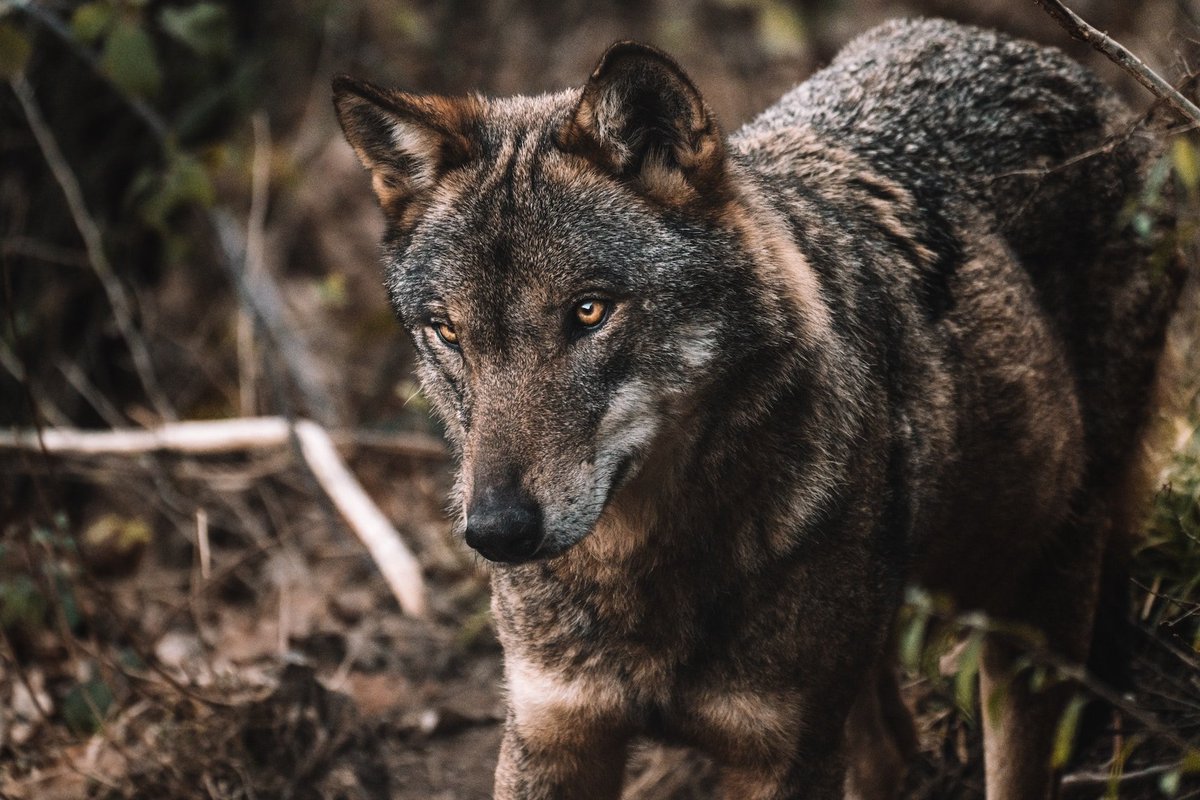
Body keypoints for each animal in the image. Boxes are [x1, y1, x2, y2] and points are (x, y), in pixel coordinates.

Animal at [334, 18, 1183, 800]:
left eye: (588, 312)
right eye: (449, 331)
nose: (498, 532)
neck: (642, 574)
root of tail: (1028, 49)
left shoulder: (783, 753)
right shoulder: (553, 734)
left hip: (1036, 599)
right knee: (891, 749)